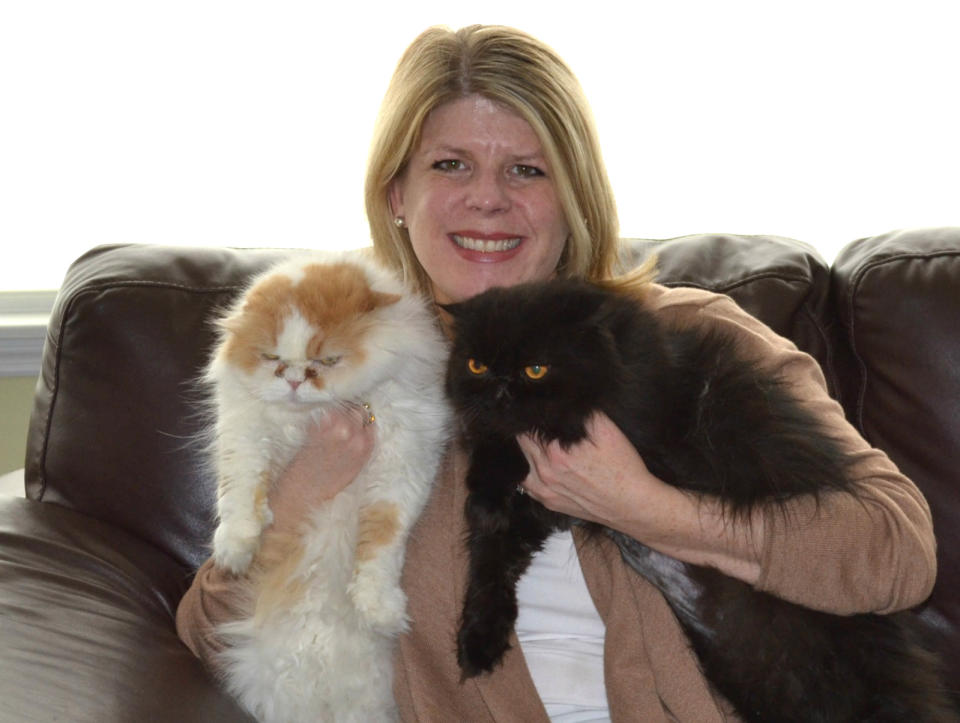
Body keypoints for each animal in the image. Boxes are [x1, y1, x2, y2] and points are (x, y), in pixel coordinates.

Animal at [205, 252, 450, 720]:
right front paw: (234, 549)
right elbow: (240, 489)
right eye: (271, 357)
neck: (311, 419)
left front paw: (380, 609)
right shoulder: (246, 430)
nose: (295, 380)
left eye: (329, 360)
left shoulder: (403, 463)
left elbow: (381, 544)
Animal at [446, 278, 956, 723]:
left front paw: (489, 475)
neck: (619, 359)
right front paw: (479, 641)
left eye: (536, 368)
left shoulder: (620, 444)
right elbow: (490, 563)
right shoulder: (532, 513)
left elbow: (526, 446)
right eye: (475, 365)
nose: (498, 390)